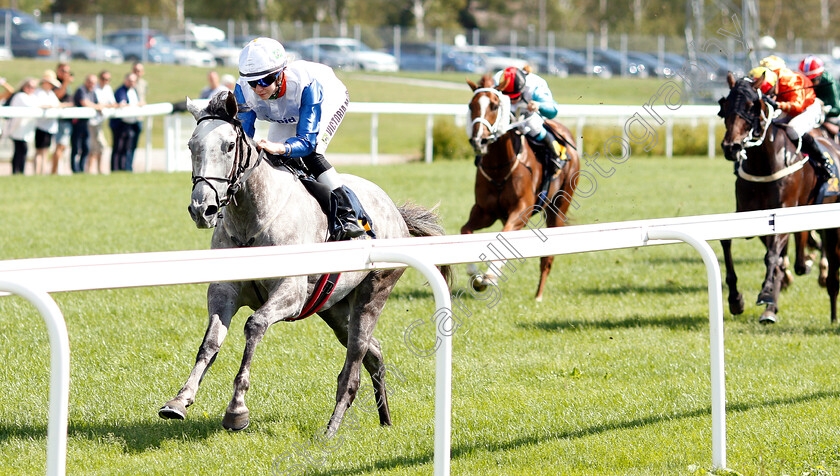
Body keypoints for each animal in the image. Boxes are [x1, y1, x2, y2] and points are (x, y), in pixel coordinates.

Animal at [162, 92, 456, 436]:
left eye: (229, 145)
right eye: (191, 145)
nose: (202, 208)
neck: (252, 218)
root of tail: (395, 212)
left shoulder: (291, 294)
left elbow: (255, 325)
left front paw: (237, 409)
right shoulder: (224, 289)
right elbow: (210, 341)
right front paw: (179, 400)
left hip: (373, 295)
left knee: (352, 368)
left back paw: (330, 431)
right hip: (335, 308)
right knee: (374, 352)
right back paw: (385, 420)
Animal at [462, 74, 580, 302]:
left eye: (494, 105)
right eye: (471, 105)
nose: (479, 140)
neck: (500, 169)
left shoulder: (521, 210)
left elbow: (504, 235)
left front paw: (490, 276)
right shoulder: (484, 212)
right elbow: (465, 231)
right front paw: (475, 276)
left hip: (559, 207)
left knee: (547, 258)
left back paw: (539, 296)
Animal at [716, 71, 820, 324]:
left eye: (751, 106)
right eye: (725, 106)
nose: (731, 147)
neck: (763, 164)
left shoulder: (784, 210)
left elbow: (772, 255)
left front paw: (765, 293)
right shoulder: (746, 211)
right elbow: (727, 242)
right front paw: (735, 299)